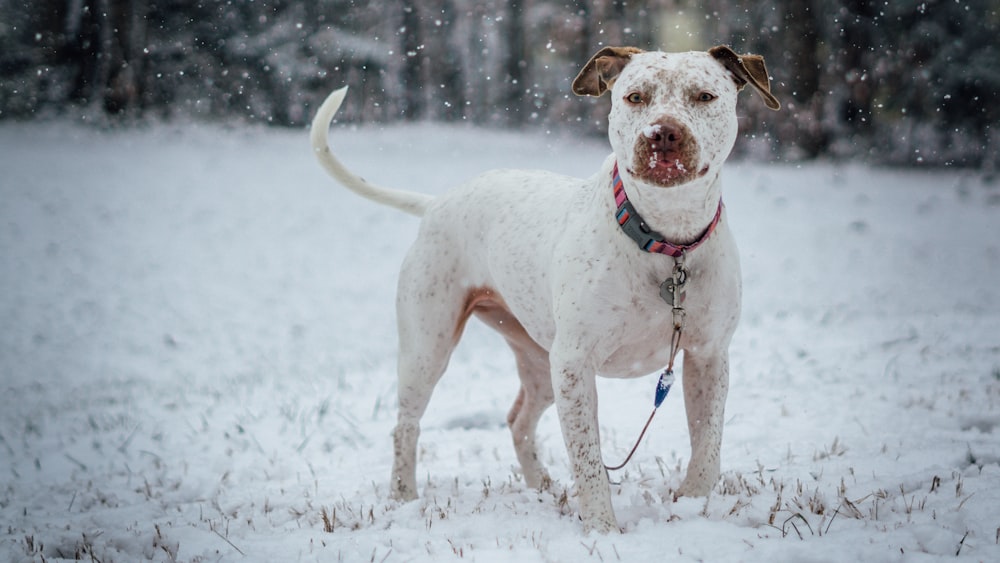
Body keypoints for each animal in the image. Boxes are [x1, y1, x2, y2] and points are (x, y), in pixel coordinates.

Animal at [308, 46, 776, 536]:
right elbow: (588, 459)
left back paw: (542, 486)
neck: (667, 241)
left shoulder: (708, 355)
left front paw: (692, 504)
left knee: (518, 420)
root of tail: (437, 203)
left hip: (538, 359)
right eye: (636, 97)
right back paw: (403, 497)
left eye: (704, 96)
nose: (662, 133)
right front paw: (602, 530)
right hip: (428, 347)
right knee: (406, 424)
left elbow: (708, 440)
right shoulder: (575, 364)